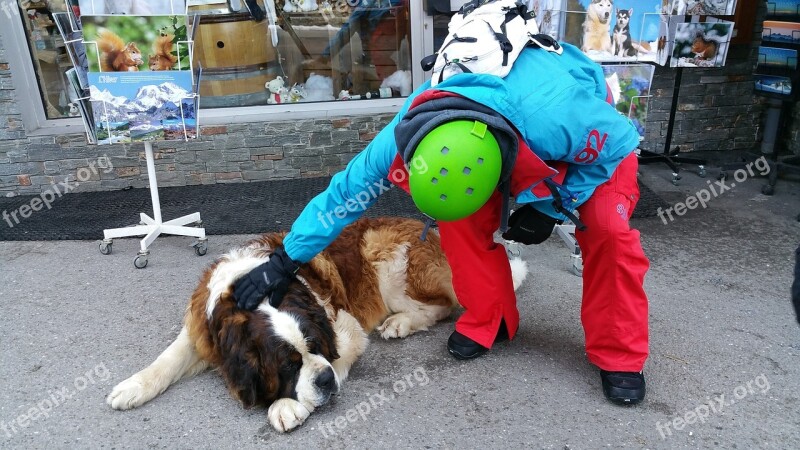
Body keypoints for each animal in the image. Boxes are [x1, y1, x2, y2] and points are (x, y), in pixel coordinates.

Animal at [108, 218, 532, 432]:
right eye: (287, 364)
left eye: (314, 347)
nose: (325, 381)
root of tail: (435, 233)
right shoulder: (202, 329)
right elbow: (167, 358)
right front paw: (131, 387)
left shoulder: (344, 325)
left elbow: (340, 353)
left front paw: (287, 406)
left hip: (382, 254)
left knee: (444, 306)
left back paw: (400, 322)